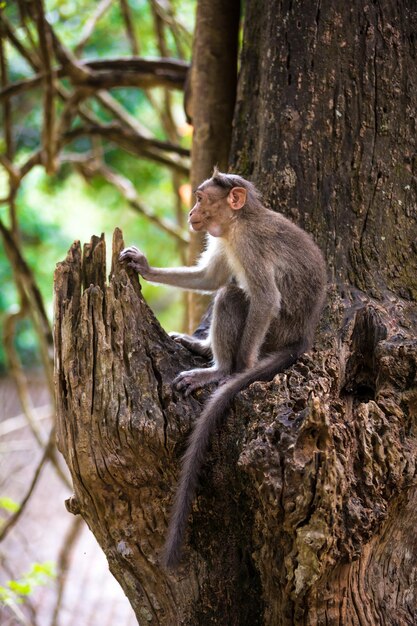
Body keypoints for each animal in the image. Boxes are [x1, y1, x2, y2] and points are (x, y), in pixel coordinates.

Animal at [118, 168, 326, 568]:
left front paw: (237, 371)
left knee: (234, 296)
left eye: (201, 198)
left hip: (274, 334)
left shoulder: (248, 243)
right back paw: (203, 349)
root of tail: (302, 338)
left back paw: (220, 369)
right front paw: (144, 266)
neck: (237, 222)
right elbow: (208, 278)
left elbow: (265, 298)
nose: (191, 213)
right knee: (227, 288)